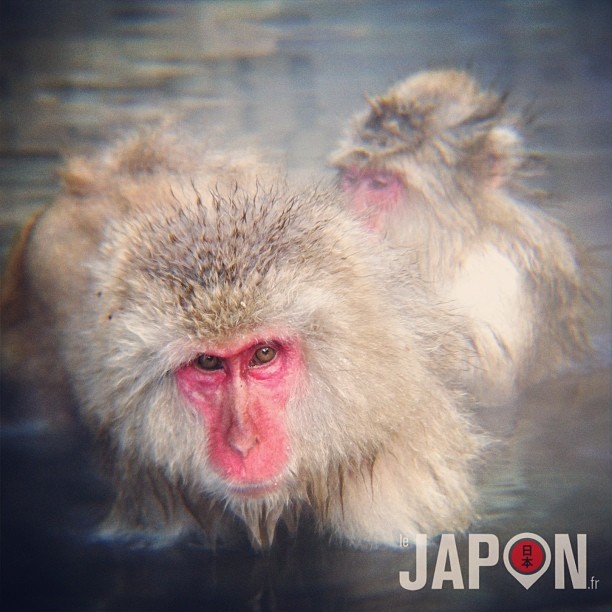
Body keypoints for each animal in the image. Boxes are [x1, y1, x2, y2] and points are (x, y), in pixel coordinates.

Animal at [332, 69, 596, 404]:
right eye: (351, 179)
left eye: (379, 184)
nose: (352, 213)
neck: (449, 248)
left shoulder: (502, 271)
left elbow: (493, 372)